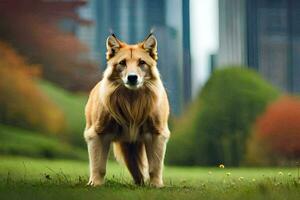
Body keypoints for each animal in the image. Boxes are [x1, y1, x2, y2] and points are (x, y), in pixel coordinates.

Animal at [83, 33, 170, 188]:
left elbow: (155, 166)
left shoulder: (156, 133)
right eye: (122, 63)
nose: (132, 77)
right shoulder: (97, 133)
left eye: (142, 63)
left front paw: (156, 185)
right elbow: (98, 166)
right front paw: (95, 184)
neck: (131, 102)